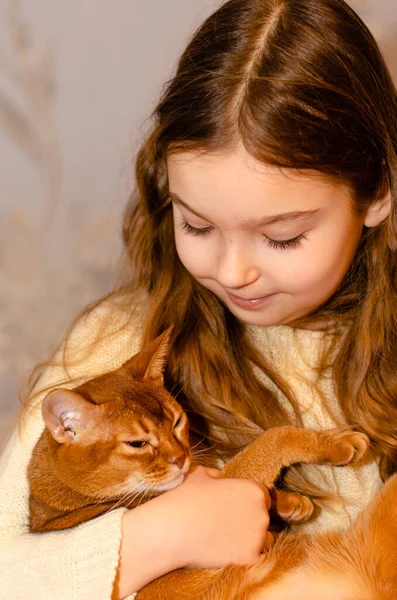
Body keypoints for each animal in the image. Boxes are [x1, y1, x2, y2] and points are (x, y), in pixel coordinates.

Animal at [29, 330, 396, 596]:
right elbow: (272, 440)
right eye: (138, 443)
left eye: (177, 422)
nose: (181, 458)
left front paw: (290, 504)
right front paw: (337, 444)